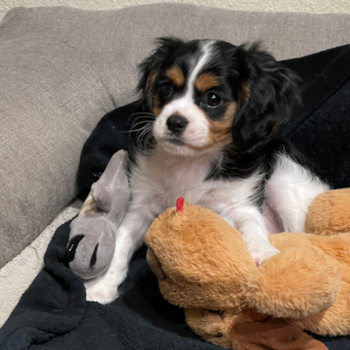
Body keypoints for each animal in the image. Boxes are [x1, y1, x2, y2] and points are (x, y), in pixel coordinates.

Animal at [83, 37, 330, 302]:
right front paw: (100, 287)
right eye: (166, 89)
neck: (191, 159)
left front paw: (263, 254)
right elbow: (121, 241)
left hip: (284, 183)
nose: (174, 122)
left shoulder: (239, 201)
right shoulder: (143, 203)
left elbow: (252, 225)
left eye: (213, 98)